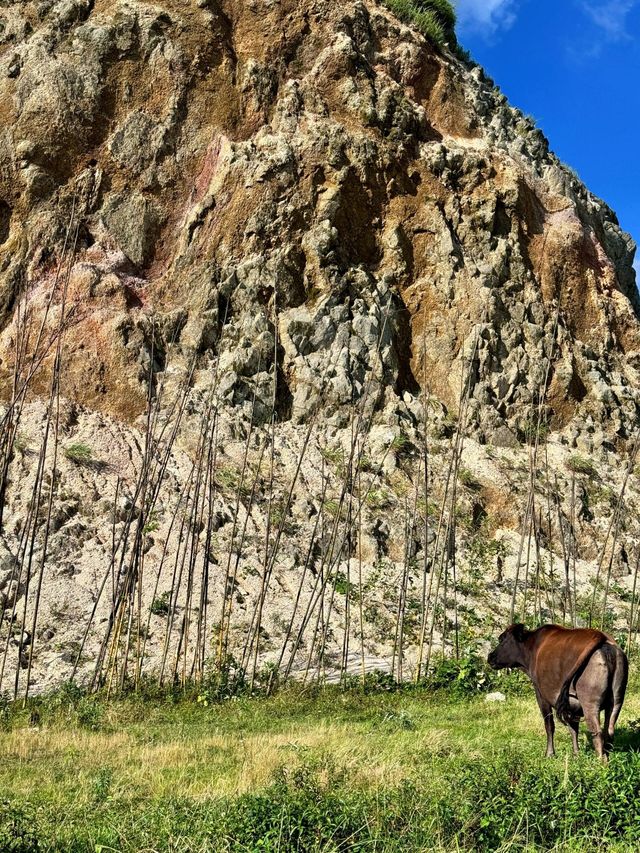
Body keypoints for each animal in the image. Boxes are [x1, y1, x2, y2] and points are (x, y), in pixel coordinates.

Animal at [488, 620, 628, 760]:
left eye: (502, 638)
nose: (490, 656)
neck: (532, 647)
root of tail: (602, 637)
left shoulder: (541, 695)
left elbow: (549, 725)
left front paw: (550, 754)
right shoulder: (571, 705)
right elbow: (573, 728)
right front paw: (576, 755)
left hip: (590, 702)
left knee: (597, 732)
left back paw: (600, 762)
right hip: (617, 700)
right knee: (609, 730)